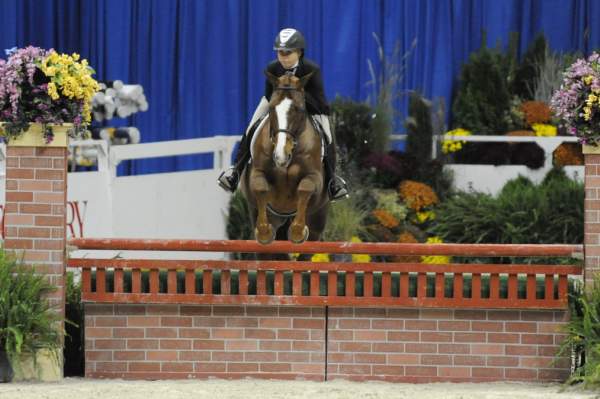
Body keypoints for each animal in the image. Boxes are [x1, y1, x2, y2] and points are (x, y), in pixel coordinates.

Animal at [239, 72, 330, 247]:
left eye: (298, 109)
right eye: (272, 108)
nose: (280, 156)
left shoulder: (315, 176)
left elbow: (305, 188)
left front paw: (297, 232)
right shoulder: (257, 172)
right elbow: (260, 187)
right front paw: (264, 233)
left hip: (318, 217)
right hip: (264, 213)